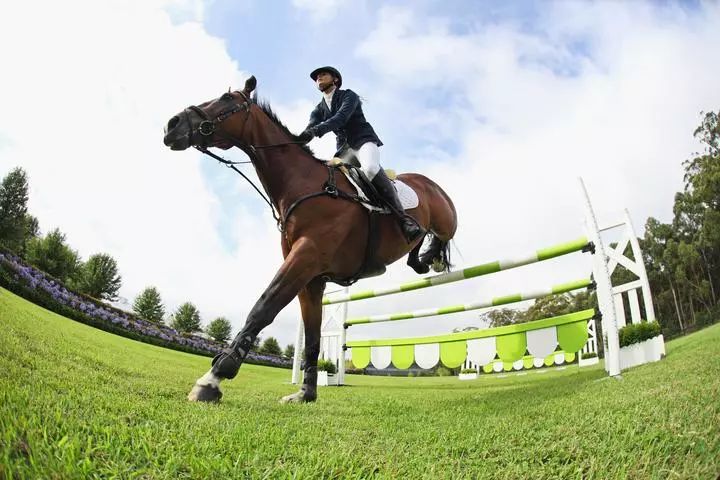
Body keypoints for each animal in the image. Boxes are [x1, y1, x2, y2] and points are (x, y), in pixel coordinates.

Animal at [163, 76, 457, 403]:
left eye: (227, 100)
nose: (172, 125)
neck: (302, 185)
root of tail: (428, 182)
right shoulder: (312, 278)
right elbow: (313, 337)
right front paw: (306, 393)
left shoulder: (306, 258)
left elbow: (263, 308)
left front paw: (213, 378)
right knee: (418, 242)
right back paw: (421, 259)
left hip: (446, 218)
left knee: (445, 233)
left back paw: (429, 253)